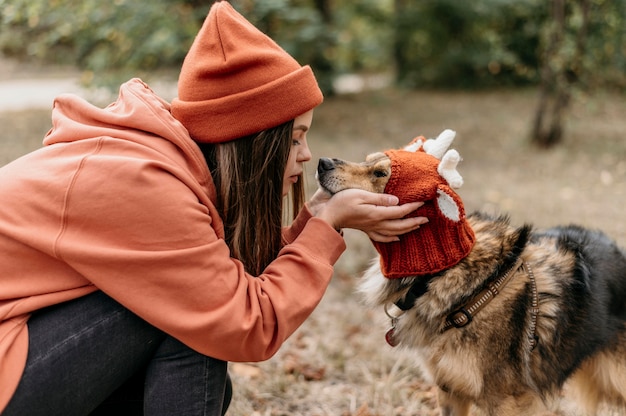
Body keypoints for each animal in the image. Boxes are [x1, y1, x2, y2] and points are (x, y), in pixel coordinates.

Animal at [314, 130, 624, 416]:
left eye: (379, 173)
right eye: (366, 160)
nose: (322, 162)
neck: (443, 273)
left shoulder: (509, 401)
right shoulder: (450, 389)